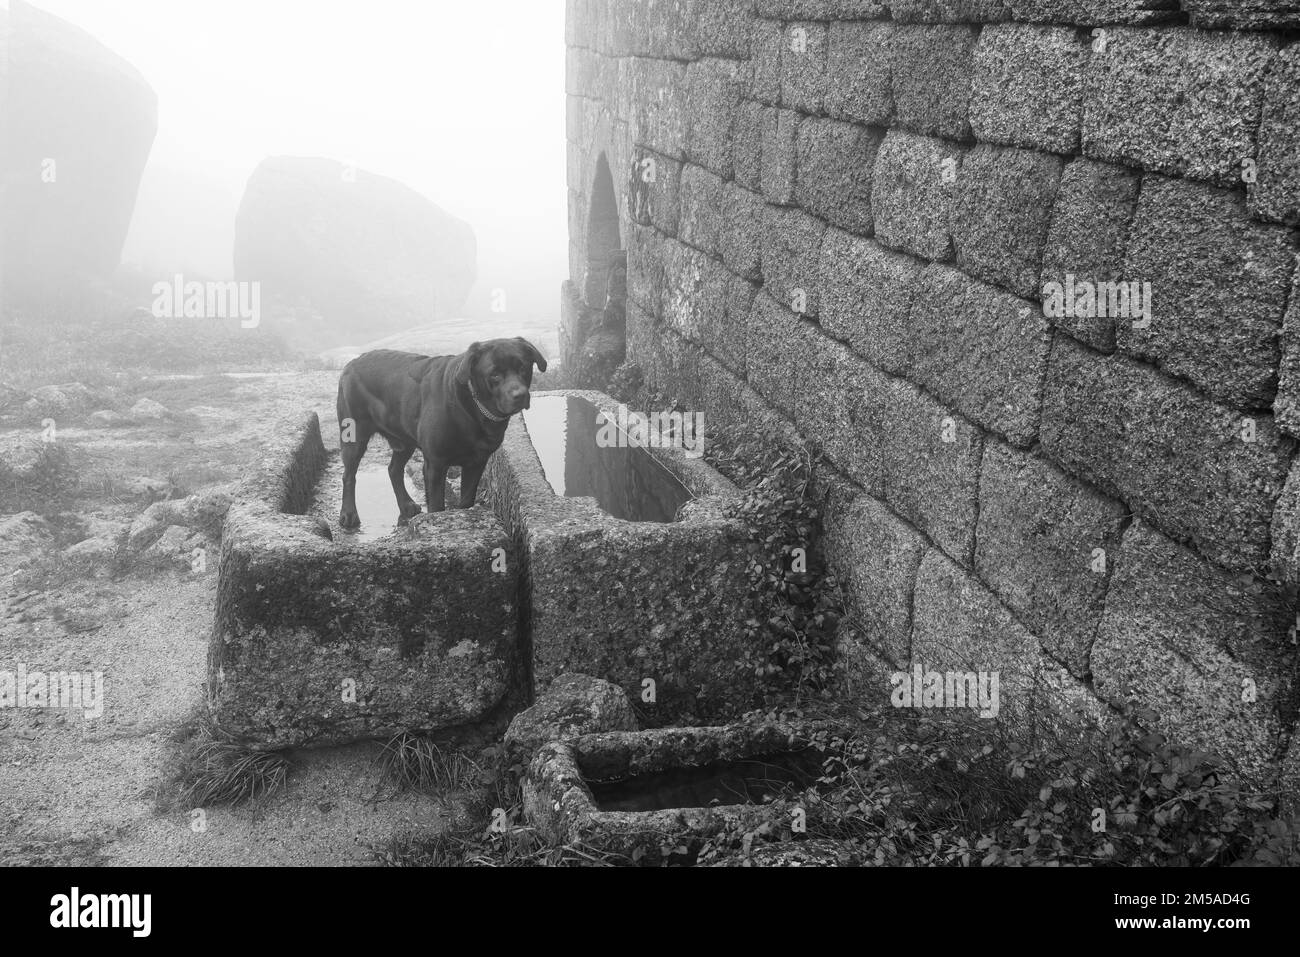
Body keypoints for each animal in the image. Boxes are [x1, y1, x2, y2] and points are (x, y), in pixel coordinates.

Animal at [338, 338, 546, 530]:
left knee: (394, 469)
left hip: (405, 441)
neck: (472, 409)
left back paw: (406, 505)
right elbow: (437, 505)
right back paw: (349, 515)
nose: (520, 395)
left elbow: (466, 501)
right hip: (354, 436)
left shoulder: (476, 463)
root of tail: (351, 362)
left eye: (523, 368)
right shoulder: (435, 465)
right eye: (494, 374)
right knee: (349, 475)